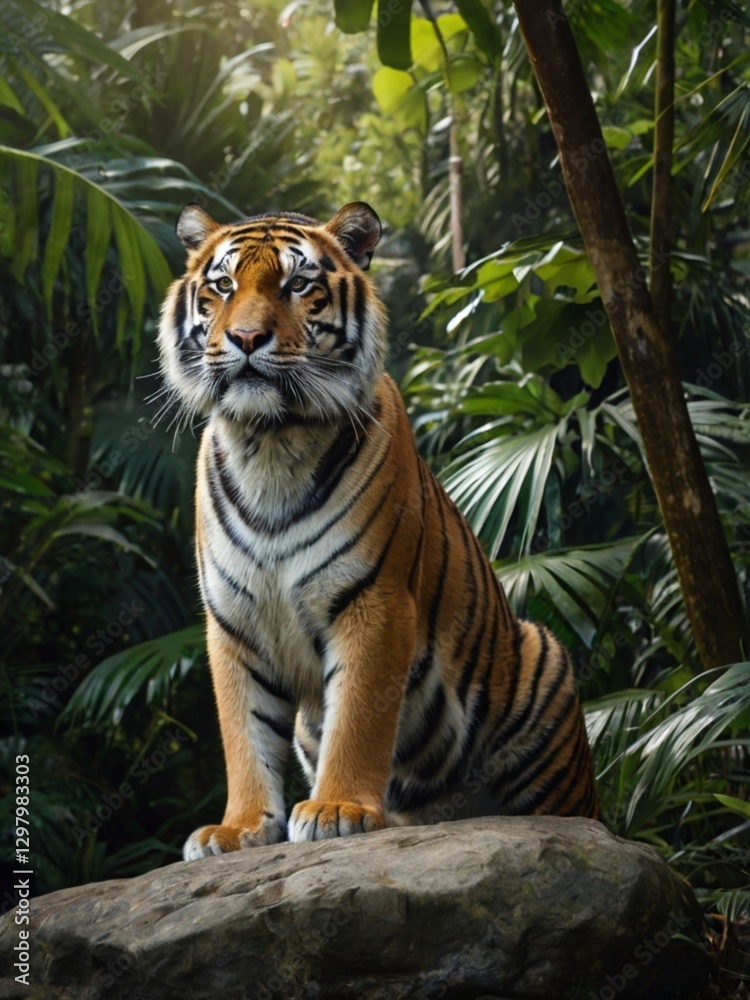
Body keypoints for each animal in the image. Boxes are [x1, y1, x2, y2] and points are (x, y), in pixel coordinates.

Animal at [157, 200, 599, 861]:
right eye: (223, 287)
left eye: (298, 285)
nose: (246, 339)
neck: (270, 442)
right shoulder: (234, 621)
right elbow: (244, 732)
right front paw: (237, 830)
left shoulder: (374, 598)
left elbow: (359, 716)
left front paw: (337, 810)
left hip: (546, 670)